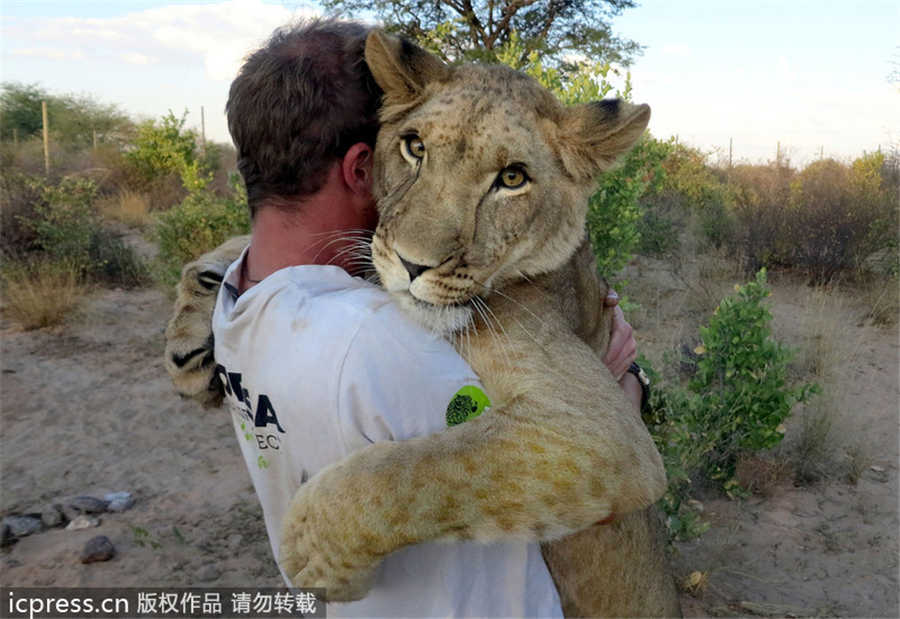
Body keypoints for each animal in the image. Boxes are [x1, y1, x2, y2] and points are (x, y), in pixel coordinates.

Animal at [165, 27, 680, 616]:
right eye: (415, 147)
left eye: (512, 178)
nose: (413, 265)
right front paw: (191, 335)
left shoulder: (601, 431)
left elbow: (422, 470)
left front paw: (313, 550)